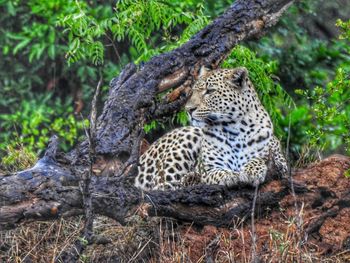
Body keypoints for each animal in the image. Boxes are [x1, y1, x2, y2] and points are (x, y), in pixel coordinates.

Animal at [134, 67, 288, 191]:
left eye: (210, 91)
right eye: (193, 92)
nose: (188, 109)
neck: (234, 130)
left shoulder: (281, 162)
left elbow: (260, 159)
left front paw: (252, 171)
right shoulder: (209, 168)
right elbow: (216, 172)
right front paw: (230, 176)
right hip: (189, 136)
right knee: (162, 187)